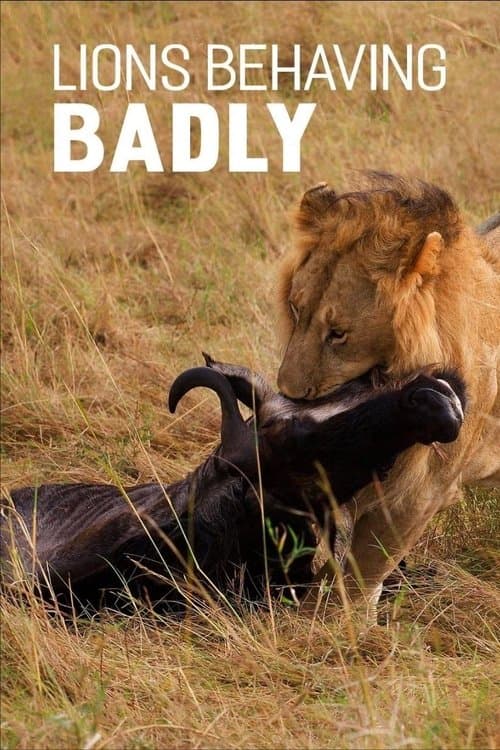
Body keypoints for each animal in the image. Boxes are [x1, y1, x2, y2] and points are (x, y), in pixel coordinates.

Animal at [276, 172, 499, 613]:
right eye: (295, 310)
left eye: (338, 334)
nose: (287, 391)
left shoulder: (421, 493)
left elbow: (363, 568)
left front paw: (331, 623)